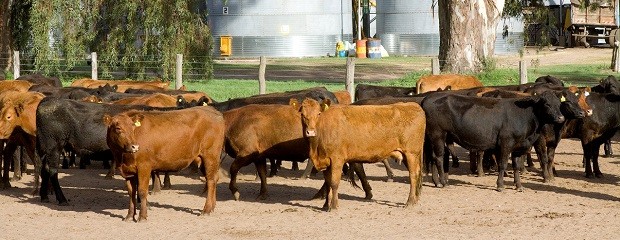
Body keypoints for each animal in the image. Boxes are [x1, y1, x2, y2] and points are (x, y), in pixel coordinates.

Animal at [422, 91, 568, 190]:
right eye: (547, 104)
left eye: (559, 104)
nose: (561, 118)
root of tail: (428, 98)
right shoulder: (505, 143)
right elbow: (502, 164)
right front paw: (500, 185)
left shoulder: (518, 146)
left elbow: (516, 165)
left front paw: (519, 185)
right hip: (438, 135)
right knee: (439, 158)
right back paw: (444, 182)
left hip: (435, 138)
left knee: (433, 157)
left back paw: (437, 182)